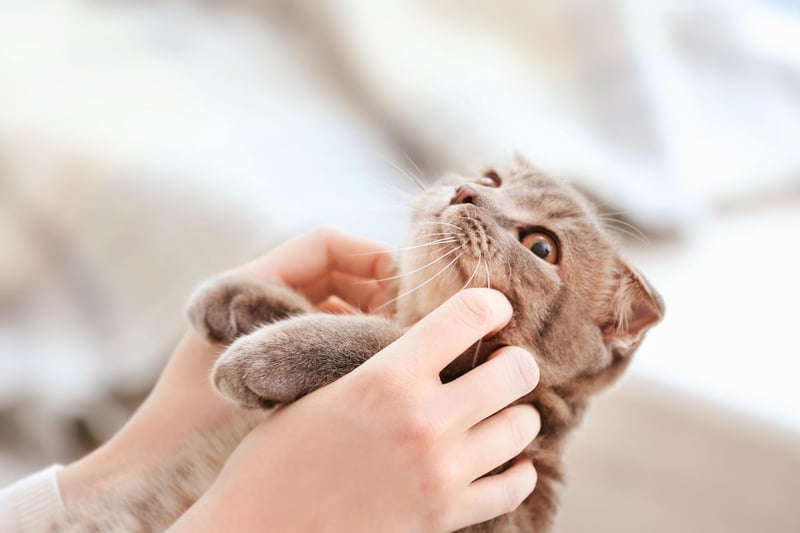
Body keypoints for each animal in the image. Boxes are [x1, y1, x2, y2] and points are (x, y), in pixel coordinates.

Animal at [51, 155, 664, 532]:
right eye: (490, 178)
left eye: (541, 247)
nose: (466, 189)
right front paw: (241, 296)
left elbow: (386, 338)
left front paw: (263, 355)